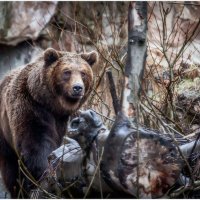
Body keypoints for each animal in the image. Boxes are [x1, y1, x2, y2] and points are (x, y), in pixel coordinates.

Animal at [0, 47, 97, 198]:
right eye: (66, 72)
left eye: (83, 73)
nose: (77, 88)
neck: (54, 106)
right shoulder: (31, 106)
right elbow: (36, 142)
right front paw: (47, 173)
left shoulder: (67, 118)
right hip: (4, 135)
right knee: (11, 168)